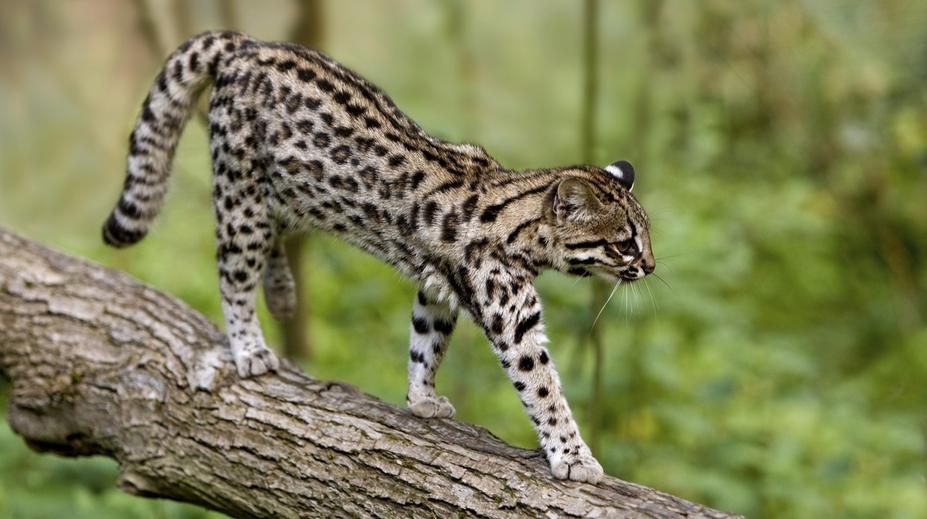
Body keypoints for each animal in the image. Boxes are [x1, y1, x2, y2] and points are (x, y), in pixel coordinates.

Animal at [102, 31, 655, 483]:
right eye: (625, 242)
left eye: (646, 236)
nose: (650, 267)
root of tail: (247, 45)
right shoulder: (511, 319)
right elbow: (543, 388)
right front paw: (574, 455)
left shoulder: (437, 288)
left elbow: (425, 341)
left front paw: (421, 399)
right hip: (241, 196)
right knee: (234, 274)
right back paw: (250, 347)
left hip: (285, 194)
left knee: (274, 241)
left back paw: (281, 295)